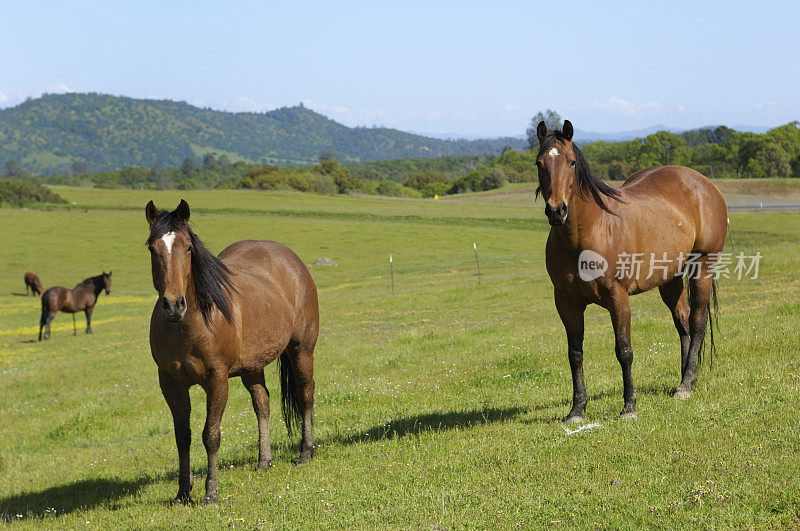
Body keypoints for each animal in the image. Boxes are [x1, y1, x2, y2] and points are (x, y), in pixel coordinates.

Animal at [144, 201, 318, 508]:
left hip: (302, 350)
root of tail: (292, 260)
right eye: (152, 248)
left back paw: (305, 453)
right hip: (253, 366)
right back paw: (264, 461)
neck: (189, 325)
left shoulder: (217, 380)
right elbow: (182, 437)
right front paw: (182, 493)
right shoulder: (170, 384)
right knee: (262, 403)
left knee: (305, 394)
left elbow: (210, 435)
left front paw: (210, 493)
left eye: (188, 248)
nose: (174, 304)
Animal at [536, 120, 728, 424]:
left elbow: (624, 351)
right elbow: (575, 354)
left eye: (571, 162)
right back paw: (685, 379)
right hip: (670, 279)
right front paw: (577, 410)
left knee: (697, 322)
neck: (587, 234)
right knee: (683, 323)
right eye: (539, 163)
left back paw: (686, 385)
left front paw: (629, 406)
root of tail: (704, 184)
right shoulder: (566, 303)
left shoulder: (618, 298)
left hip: (703, 267)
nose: (557, 211)